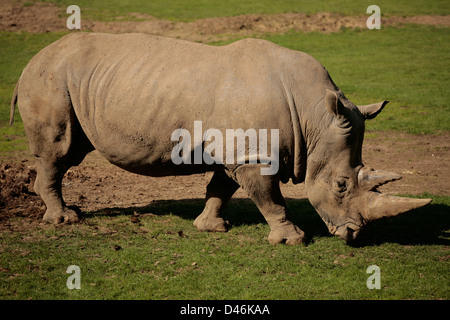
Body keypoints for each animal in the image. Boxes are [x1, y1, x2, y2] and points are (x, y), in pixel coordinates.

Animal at [10, 32, 430, 244]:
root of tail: (31, 61)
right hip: (49, 80)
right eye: (341, 185)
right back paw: (64, 220)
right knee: (60, 151)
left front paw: (210, 227)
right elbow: (270, 198)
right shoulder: (254, 156)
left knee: (72, 150)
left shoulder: (239, 150)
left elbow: (221, 187)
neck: (314, 116)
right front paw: (292, 239)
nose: (354, 235)